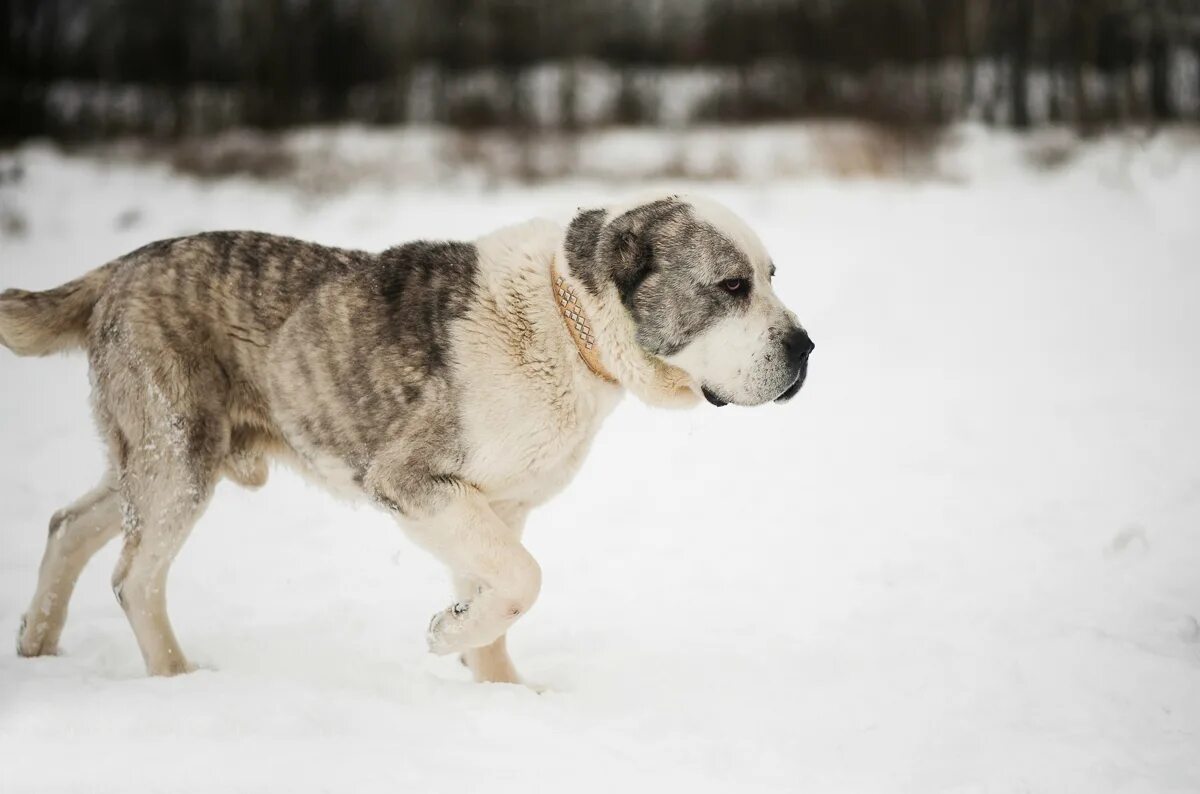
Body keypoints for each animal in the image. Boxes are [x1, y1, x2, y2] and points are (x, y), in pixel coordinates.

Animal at [2, 194, 816, 686]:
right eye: (732, 286)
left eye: (774, 274)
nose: (807, 347)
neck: (566, 318)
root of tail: (119, 268)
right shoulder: (414, 482)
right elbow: (524, 579)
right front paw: (444, 638)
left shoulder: (494, 505)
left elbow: (499, 594)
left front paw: (500, 692)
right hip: (179, 456)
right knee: (134, 577)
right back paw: (177, 679)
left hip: (145, 460)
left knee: (69, 526)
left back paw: (37, 644)